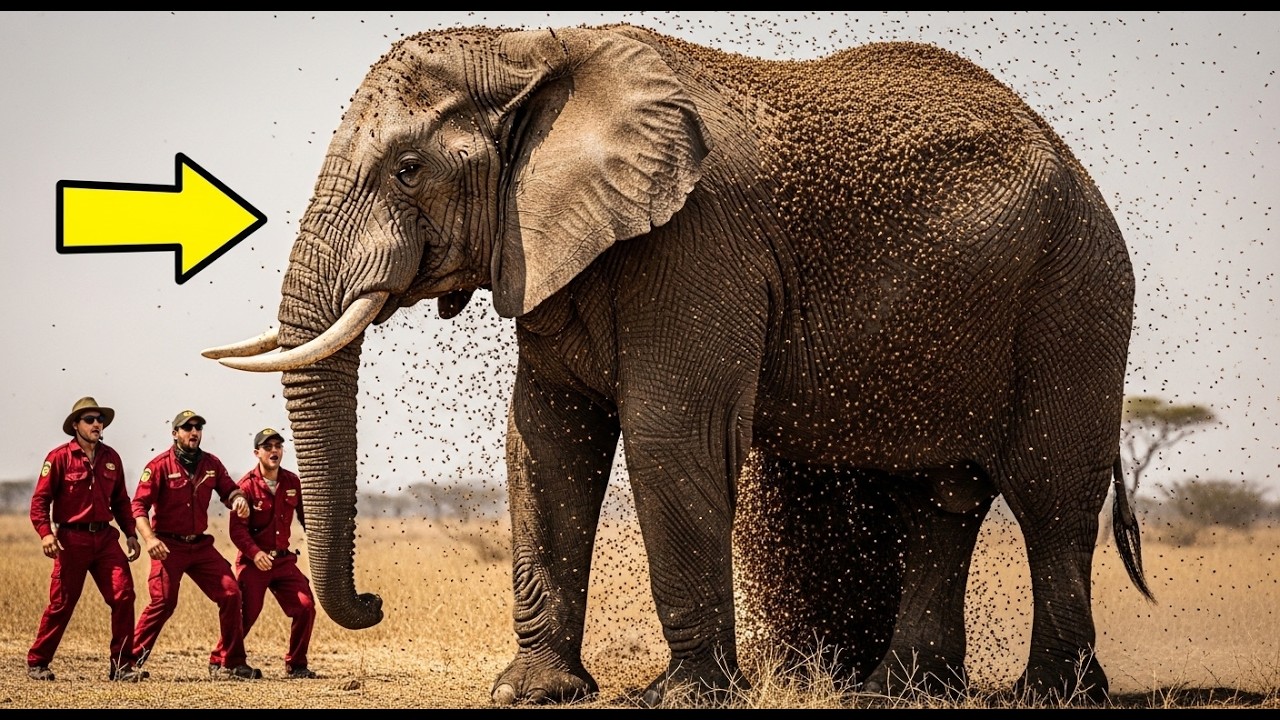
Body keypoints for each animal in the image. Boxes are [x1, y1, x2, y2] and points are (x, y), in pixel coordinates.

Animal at [204, 23, 1154, 706]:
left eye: (407, 170)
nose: (373, 605)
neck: (532, 50)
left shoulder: (697, 243)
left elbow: (669, 438)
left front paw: (684, 696)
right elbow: (544, 443)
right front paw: (532, 692)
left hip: (1077, 296)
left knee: (1051, 496)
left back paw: (1050, 696)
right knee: (941, 497)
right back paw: (904, 694)